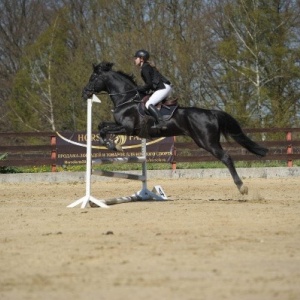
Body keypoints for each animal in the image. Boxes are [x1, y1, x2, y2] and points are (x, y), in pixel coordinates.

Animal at [81, 62, 268, 196]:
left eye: (93, 77)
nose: (84, 94)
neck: (127, 99)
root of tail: (211, 113)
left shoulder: (127, 129)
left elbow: (104, 130)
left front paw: (113, 145)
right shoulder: (123, 127)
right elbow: (102, 126)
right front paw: (111, 144)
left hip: (207, 142)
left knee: (226, 158)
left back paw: (242, 187)